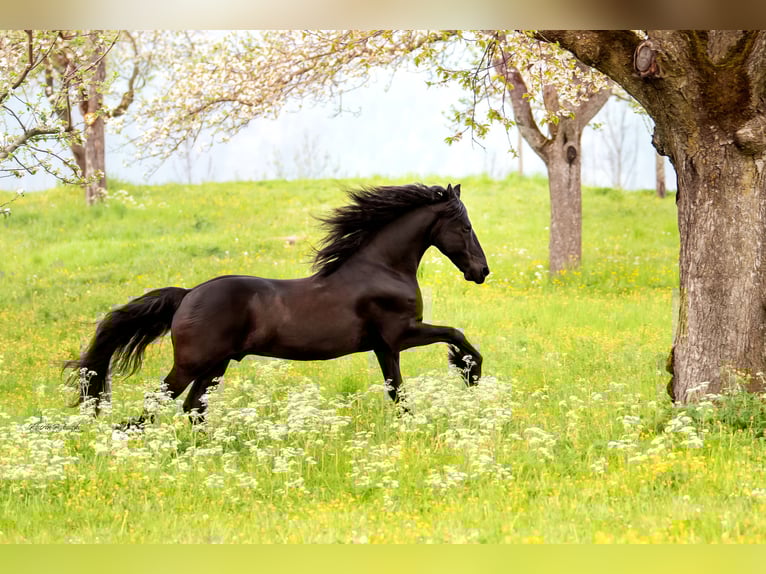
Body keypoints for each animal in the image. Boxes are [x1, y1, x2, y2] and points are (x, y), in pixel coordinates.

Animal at [64, 183, 490, 423]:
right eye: (466, 226)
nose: (482, 271)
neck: (382, 268)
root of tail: (187, 296)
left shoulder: (385, 347)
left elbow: (397, 393)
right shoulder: (401, 334)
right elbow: (455, 333)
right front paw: (469, 373)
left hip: (216, 365)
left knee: (193, 408)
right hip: (192, 363)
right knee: (160, 403)